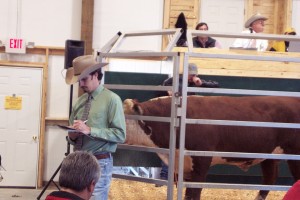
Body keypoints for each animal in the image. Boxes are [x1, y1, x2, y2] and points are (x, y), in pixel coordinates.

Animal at [122, 96, 300, 199]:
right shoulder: (183, 166)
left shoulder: (201, 161)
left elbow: (193, 193)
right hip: (270, 155)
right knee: (269, 179)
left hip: (294, 154)